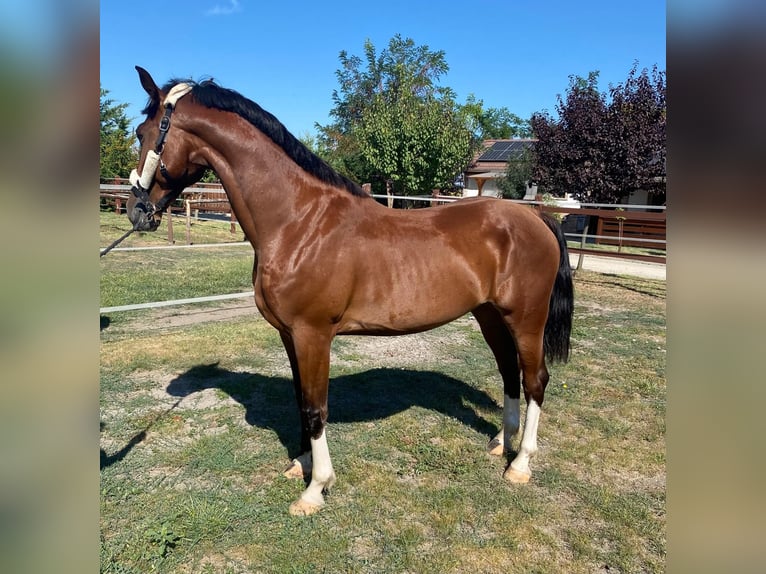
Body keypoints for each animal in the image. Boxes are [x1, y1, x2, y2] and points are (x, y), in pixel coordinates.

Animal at [127, 66, 568, 516]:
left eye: (143, 132)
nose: (137, 210)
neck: (298, 221)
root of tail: (538, 219)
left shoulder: (313, 335)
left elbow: (315, 407)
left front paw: (315, 489)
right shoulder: (289, 336)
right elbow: (300, 401)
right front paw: (301, 465)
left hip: (527, 319)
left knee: (535, 380)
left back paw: (521, 464)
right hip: (490, 316)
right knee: (510, 374)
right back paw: (501, 443)